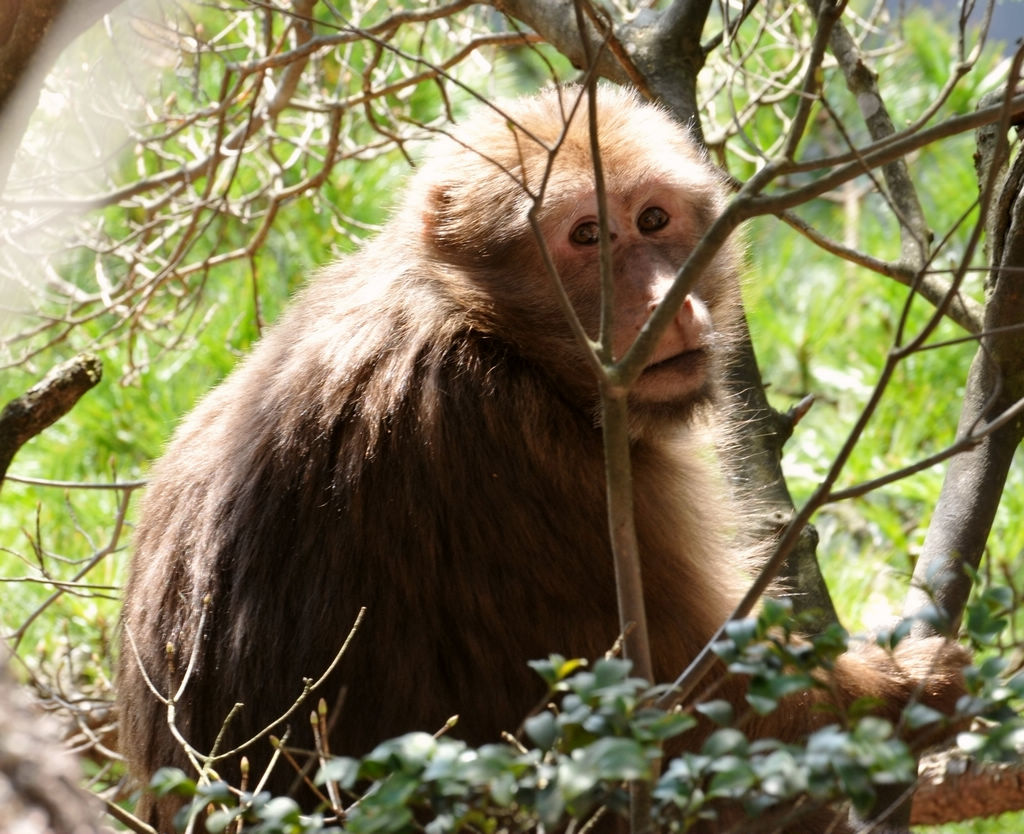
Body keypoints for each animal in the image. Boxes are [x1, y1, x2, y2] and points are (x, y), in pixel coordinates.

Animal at [116, 88, 962, 831]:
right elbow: (672, 717)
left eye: (653, 219)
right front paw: (899, 687)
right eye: (586, 236)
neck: (490, 331)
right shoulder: (506, 442)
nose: (667, 302)